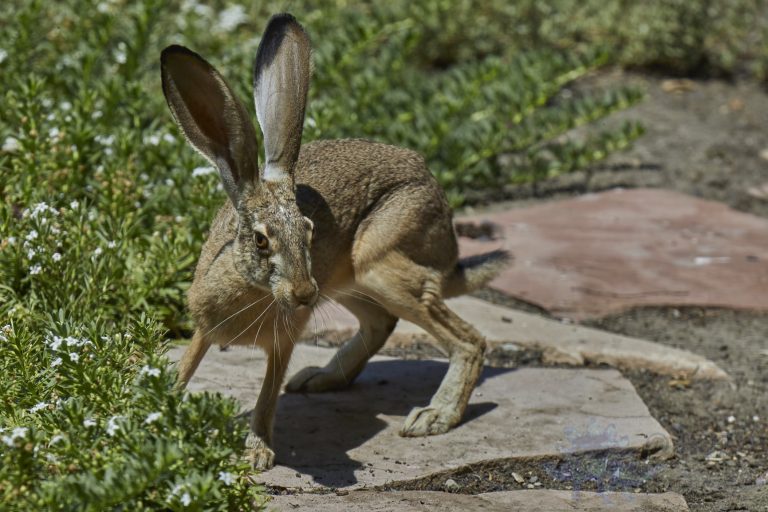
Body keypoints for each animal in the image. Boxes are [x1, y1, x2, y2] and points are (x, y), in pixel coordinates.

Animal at [160, 13, 509, 470]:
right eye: (260, 241)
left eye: (309, 231)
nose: (304, 294)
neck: (253, 288)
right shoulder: (203, 330)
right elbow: (185, 370)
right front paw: (155, 414)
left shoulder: (283, 342)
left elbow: (267, 398)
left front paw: (256, 454)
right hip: (352, 281)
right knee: (381, 323)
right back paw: (318, 378)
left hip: (380, 267)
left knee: (469, 341)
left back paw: (434, 416)